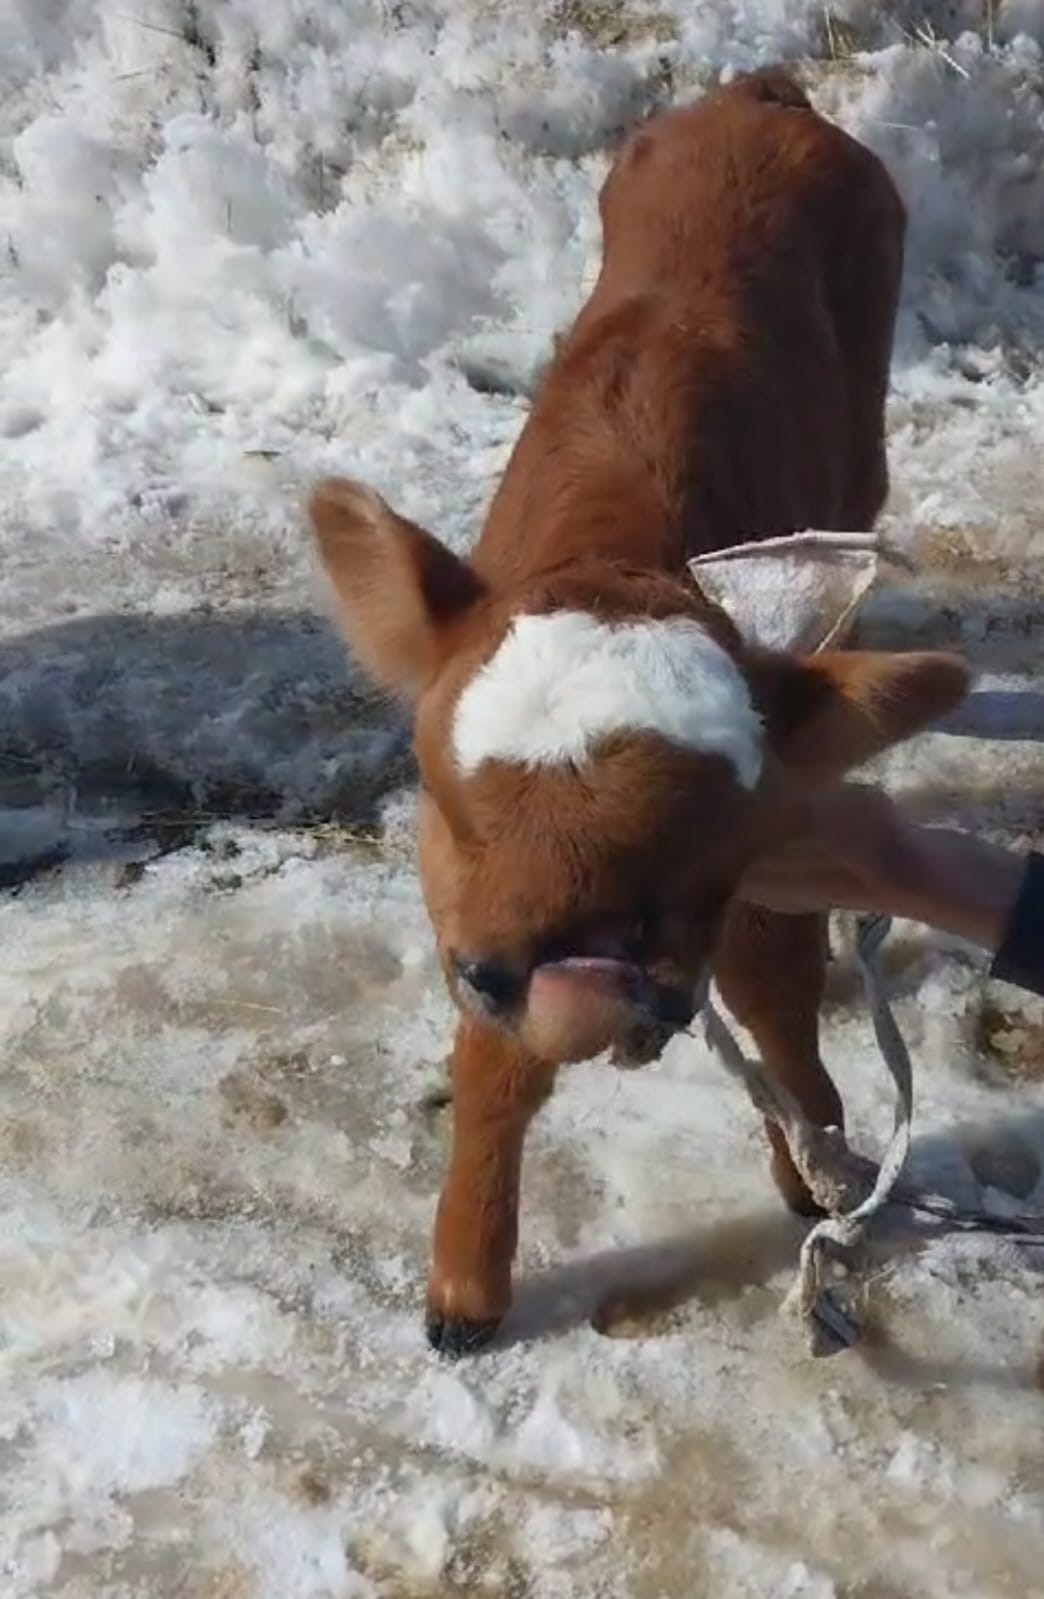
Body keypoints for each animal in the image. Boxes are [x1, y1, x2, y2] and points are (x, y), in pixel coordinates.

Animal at [310, 68, 972, 1355]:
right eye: (451, 806)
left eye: (702, 847)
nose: (574, 978)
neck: (617, 545)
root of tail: (762, 95)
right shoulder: (466, 918)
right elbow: (494, 1068)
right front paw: (465, 1289)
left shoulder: (767, 866)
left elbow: (778, 999)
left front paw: (814, 1166)